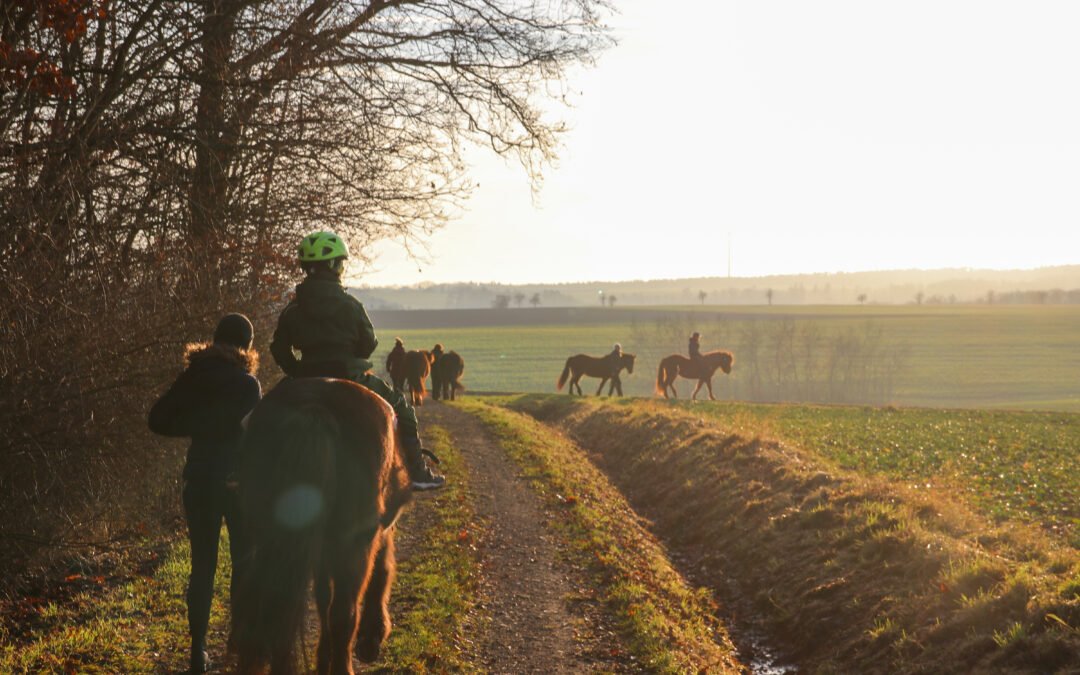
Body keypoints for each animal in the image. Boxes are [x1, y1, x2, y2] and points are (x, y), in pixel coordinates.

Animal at [231, 375, 408, 673]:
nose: (370, 647)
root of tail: (314, 408)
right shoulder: (366, 537)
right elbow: (379, 572)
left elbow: (322, 599)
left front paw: (323, 656)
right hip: (352, 543)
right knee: (344, 612)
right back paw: (342, 666)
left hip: (270, 536)